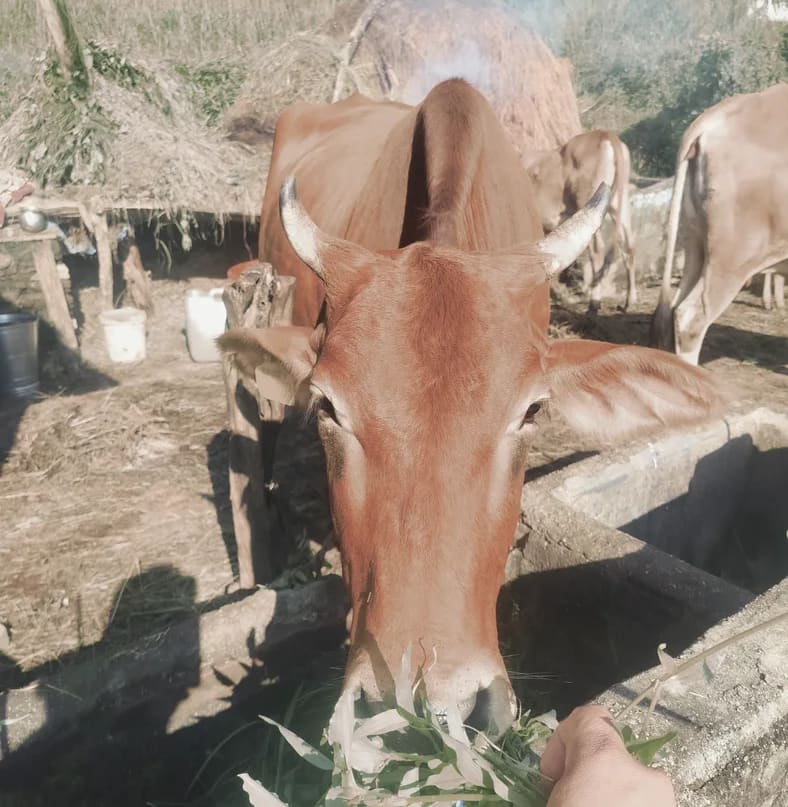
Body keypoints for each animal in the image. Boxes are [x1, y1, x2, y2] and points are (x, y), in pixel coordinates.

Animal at [523, 130, 636, 311]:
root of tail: (604, 134)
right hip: (620, 202)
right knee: (628, 245)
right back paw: (630, 300)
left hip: (587, 201)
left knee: (598, 250)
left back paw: (594, 301)